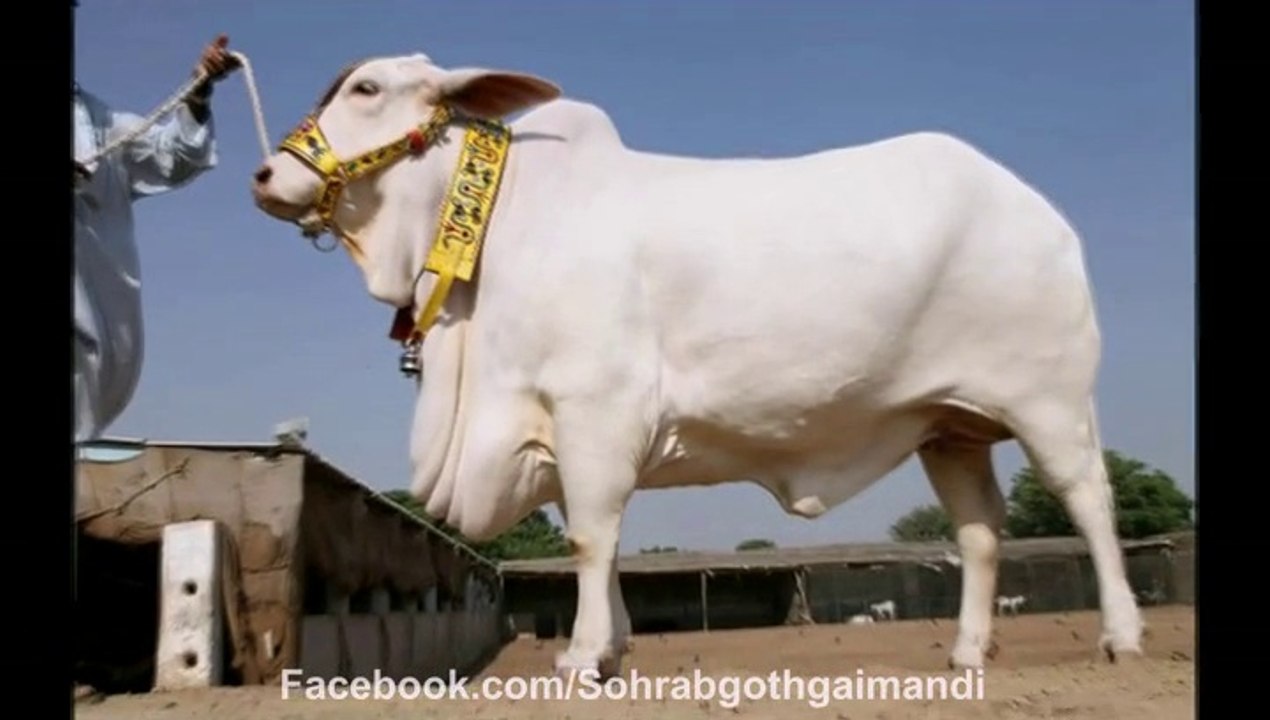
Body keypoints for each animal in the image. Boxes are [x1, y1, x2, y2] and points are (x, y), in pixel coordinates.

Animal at [249, 52, 1145, 677]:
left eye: (366, 88)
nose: (265, 174)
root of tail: (1037, 208)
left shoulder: (595, 406)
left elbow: (591, 536)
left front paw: (583, 656)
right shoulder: (571, 429)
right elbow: (604, 539)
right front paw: (611, 647)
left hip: (1050, 402)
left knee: (1090, 503)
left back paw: (1121, 635)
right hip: (948, 428)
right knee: (981, 532)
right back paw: (966, 651)